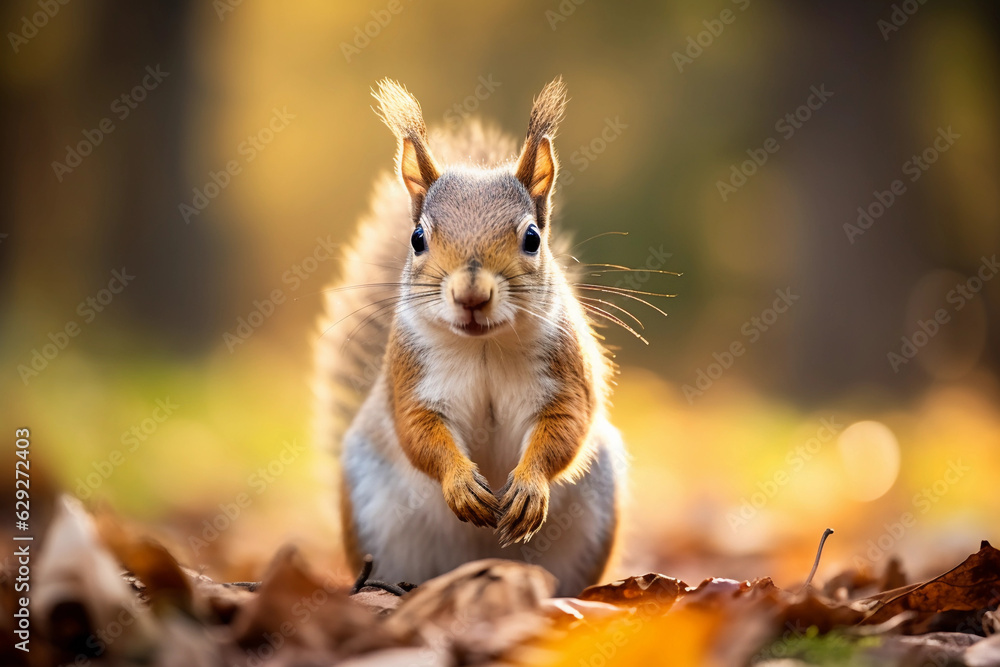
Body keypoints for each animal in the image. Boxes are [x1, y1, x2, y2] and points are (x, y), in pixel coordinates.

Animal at [314, 78, 627, 597]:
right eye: (417, 238)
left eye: (533, 238)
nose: (472, 295)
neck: (483, 346)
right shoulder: (411, 379)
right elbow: (419, 433)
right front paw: (461, 483)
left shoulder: (566, 373)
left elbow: (567, 426)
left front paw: (529, 486)